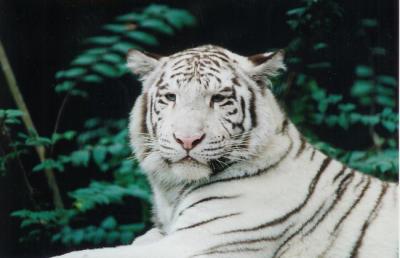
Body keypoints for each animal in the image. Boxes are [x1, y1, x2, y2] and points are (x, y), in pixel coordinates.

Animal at [52, 45, 396, 256]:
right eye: (170, 97)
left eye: (218, 98)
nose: (187, 140)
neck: (173, 191)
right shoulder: (161, 236)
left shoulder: (196, 242)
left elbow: (83, 254)